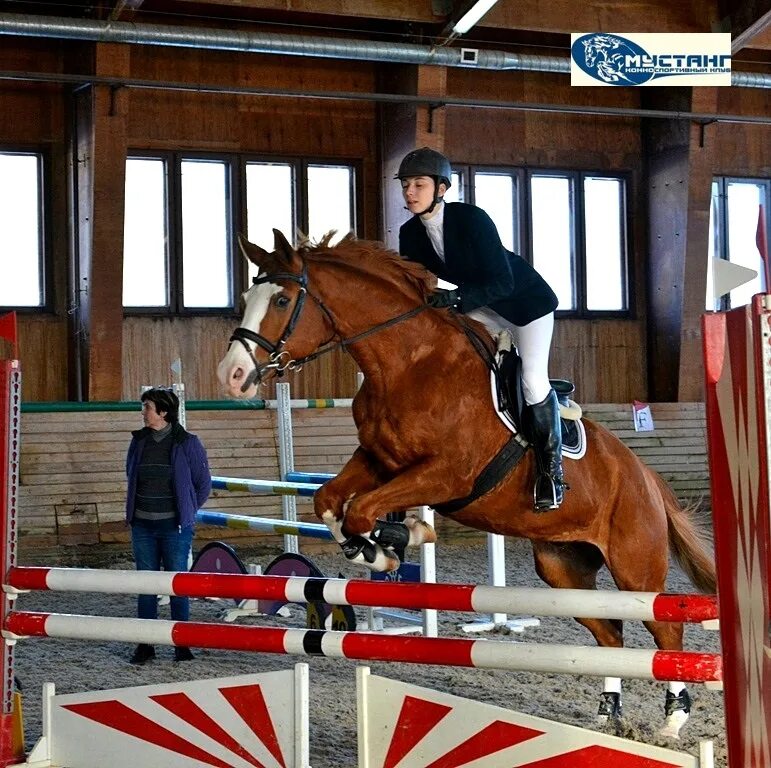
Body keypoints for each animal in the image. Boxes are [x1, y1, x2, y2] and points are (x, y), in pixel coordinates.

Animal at [217, 230, 716, 736]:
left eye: (282, 300)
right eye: (245, 300)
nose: (231, 376)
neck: (406, 363)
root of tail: (647, 478)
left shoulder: (445, 474)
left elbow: (360, 509)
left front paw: (401, 537)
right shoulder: (377, 462)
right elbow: (329, 501)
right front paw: (377, 548)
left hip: (636, 567)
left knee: (666, 629)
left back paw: (673, 719)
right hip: (563, 568)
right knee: (610, 632)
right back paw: (606, 711)